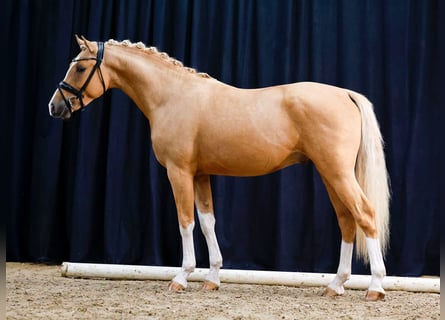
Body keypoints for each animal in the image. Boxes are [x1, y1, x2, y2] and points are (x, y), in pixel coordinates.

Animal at [48, 36, 388, 302]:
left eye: (79, 68)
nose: (55, 106)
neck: (172, 96)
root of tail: (345, 94)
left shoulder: (179, 172)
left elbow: (186, 223)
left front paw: (181, 278)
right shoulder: (201, 175)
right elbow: (208, 222)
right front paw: (211, 279)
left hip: (337, 173)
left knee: (365, 214)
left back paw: (375, 287)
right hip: (330, 174)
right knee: (346, 220)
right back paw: (336, 285)